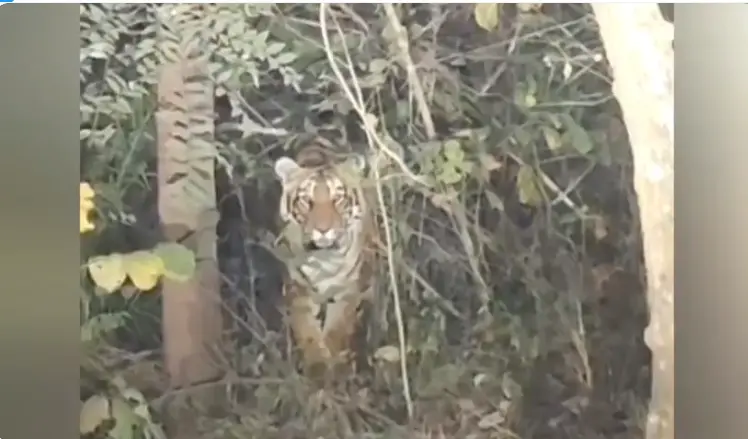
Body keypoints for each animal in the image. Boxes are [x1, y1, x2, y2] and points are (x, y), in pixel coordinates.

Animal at [272, 142, 378, 375]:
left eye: (337, 199)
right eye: (306, 200)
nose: (323, 229)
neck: (324, 255)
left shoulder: (347, 291)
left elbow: (337, 329)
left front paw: (334, 364)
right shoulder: (298, 289)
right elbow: (307, 330)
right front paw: (317, 367)